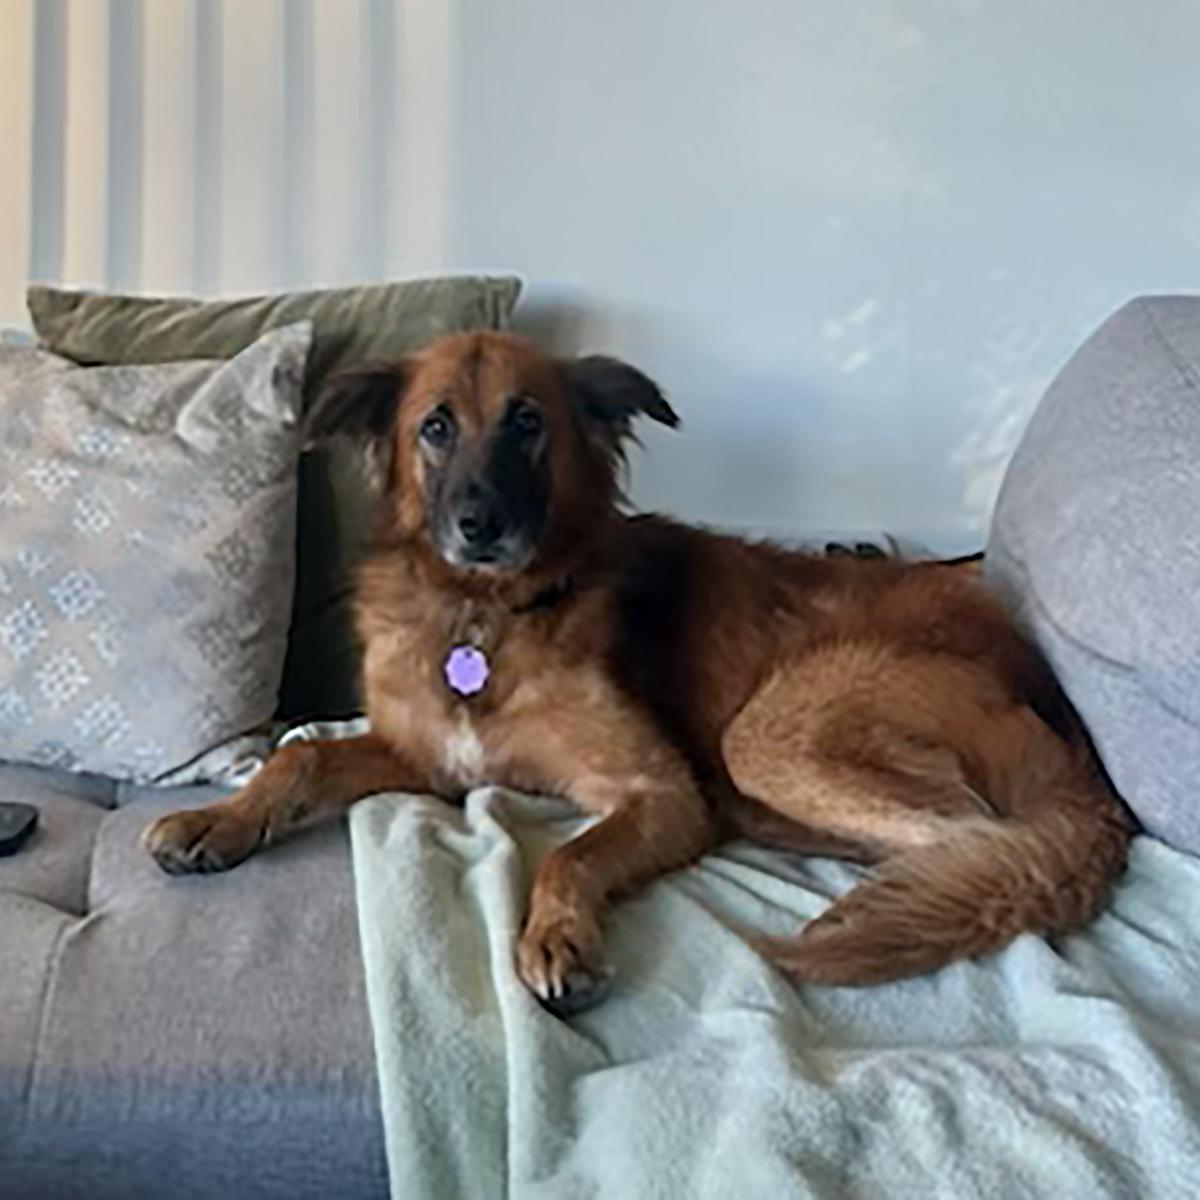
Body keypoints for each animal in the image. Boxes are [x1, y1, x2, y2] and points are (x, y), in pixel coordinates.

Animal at [143, 331, 1133, 1014]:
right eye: (435, 427)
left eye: (528, 423)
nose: (478, 524)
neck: (484, 614)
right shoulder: (426, 757)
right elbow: (300, 756)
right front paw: (213, 822)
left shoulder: (663, 789)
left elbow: (570, 853)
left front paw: (557, 939)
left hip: (769, 733)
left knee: (975, 839)